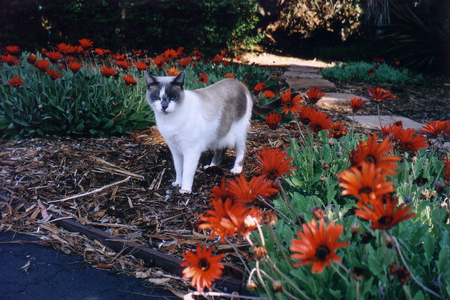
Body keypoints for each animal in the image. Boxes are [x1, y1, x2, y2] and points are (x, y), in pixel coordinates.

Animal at [145, 71, 284, 193]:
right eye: (157, 98)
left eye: (173, 98)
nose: (164, 106)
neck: (169, 121)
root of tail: (241, 84)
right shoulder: (175, 148)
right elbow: (179, 169)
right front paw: (178, 183)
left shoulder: (191, 150)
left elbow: (187, 171)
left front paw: (185, 190)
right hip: (220, 133)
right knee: (221, 150)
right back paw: (212, 166)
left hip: (238, 133)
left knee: (242, 150)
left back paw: (236, 169)